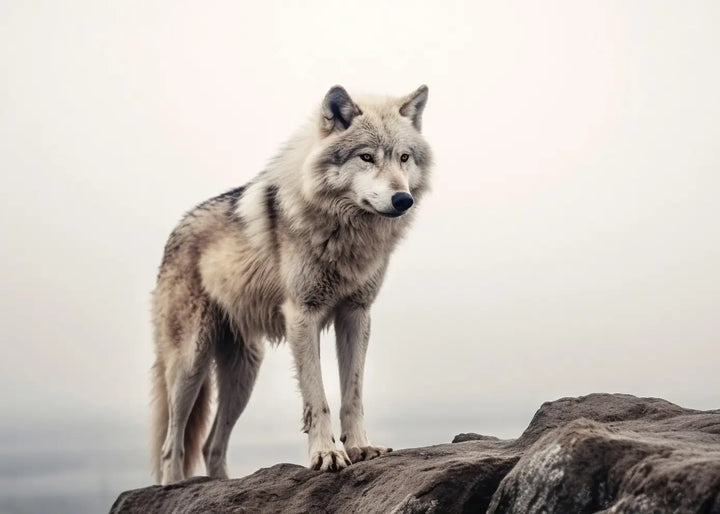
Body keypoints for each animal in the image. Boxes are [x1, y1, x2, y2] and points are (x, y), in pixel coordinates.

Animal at [150, 85, 432, 484]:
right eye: (366, 157)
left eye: (404, 157)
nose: (402, 199)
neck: (344, 231)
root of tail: (176, 230)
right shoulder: (303, 315)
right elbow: (318, 398)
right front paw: (326, 455)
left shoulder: (356, 314)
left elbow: (353, 393)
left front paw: (360, 448)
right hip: (191, 363)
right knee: (172, 442)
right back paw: (173, 486)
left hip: (243, 375)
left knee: (209, 445)